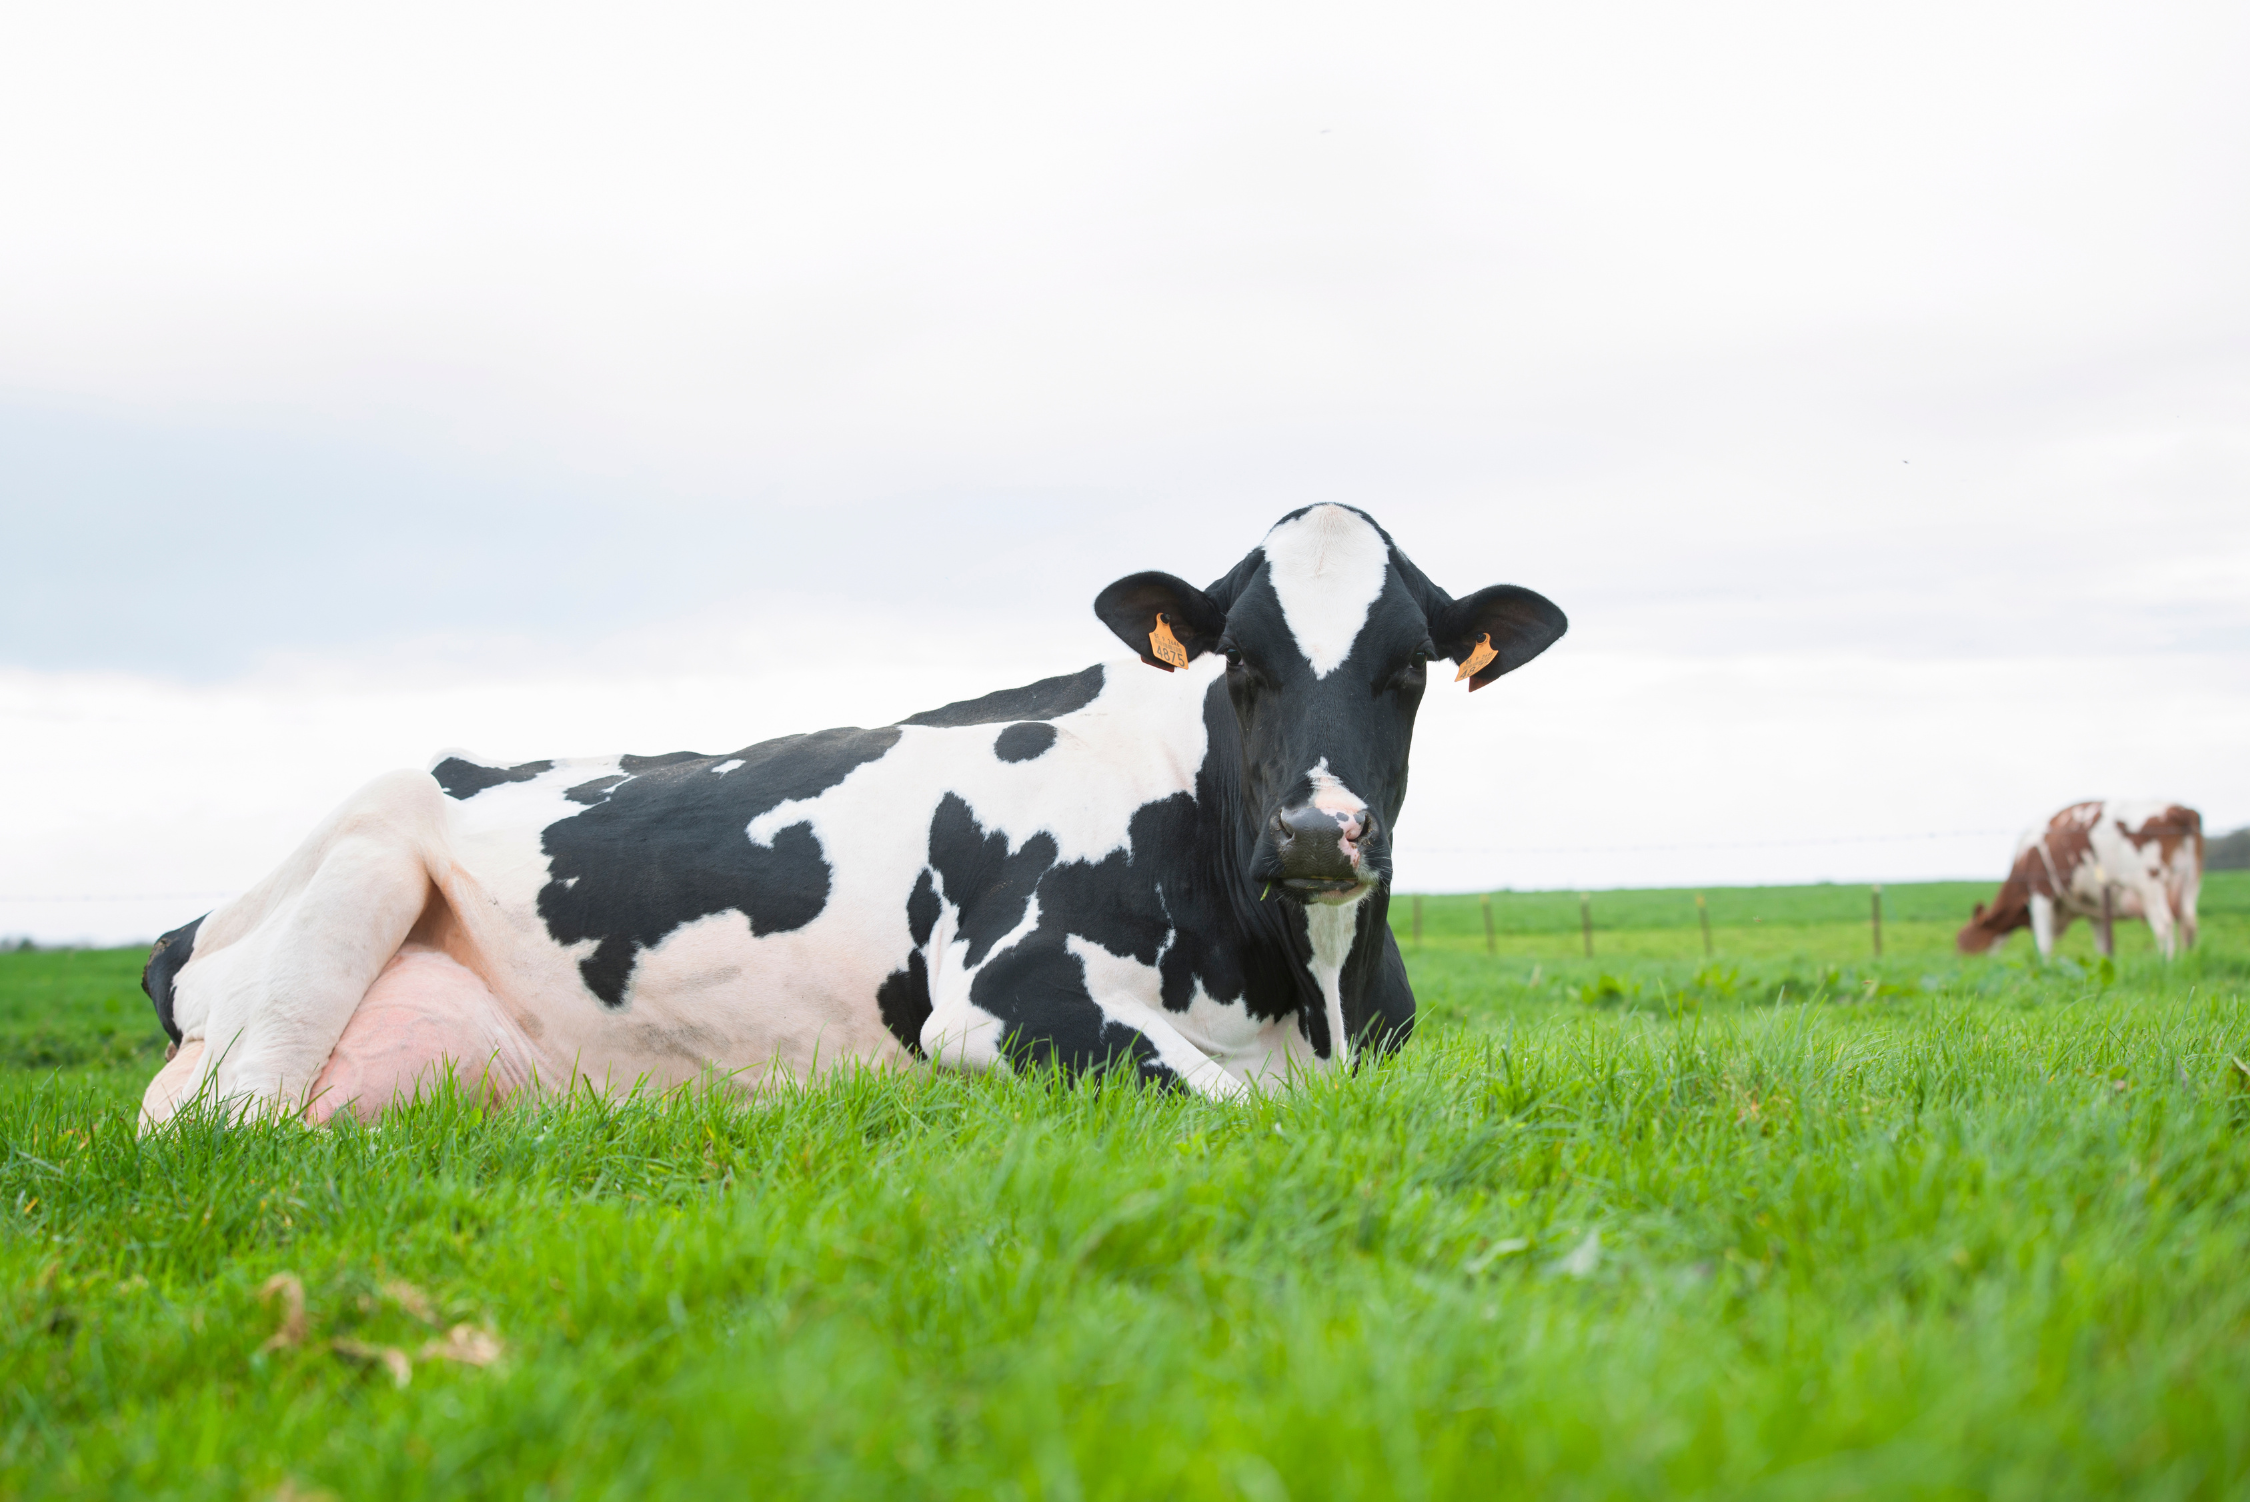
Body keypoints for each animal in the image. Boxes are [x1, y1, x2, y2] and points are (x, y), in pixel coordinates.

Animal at [138, 505, 1567, 1128]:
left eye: (1407, 667)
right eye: (1243, 664)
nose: (1320, 833)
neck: (1309, 994)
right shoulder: (1006, 992)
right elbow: (1246, 1101)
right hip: (363, 860)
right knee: (232, 1115)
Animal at [1956, 800, 2203, 961]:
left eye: (1963, 939)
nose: (1958, 958)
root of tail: (2180, 810)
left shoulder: (2040, 893)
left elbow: (2043, 943)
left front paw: (2045, 967)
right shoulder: (2095, 910)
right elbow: (2102, 945)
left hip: (2148, 883)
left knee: (2163, 924)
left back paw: (2165, 963)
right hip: (2190, 881)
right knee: (2188, 922)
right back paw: (2186, 961)